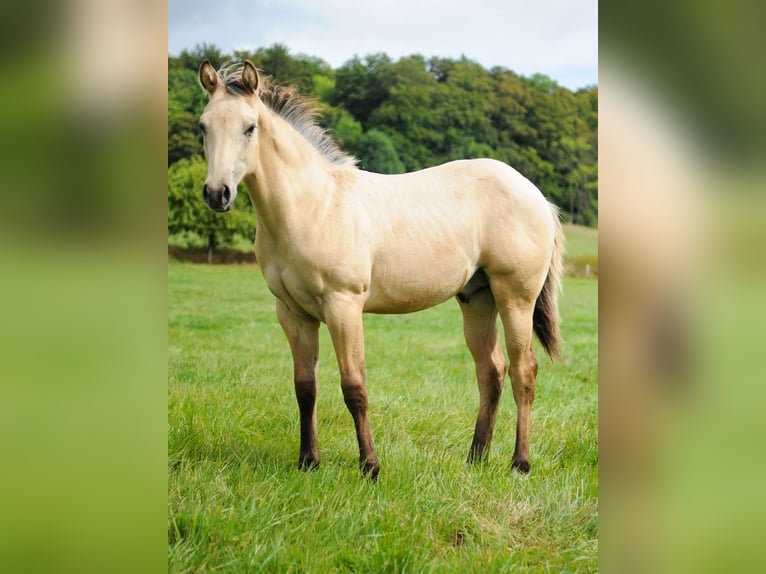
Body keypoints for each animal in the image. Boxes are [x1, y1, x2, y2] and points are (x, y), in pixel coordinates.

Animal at [197, 60, 563, 480]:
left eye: (250, 127)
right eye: (203, 126)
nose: (217, 193)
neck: (314, 204)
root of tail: (536, 194)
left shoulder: (343, 307)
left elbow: (354, 387)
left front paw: (370, 466)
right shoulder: (293, 313)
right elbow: (305, 388)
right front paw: (308, 461)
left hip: (515, 298)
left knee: (524, 371)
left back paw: (520, 463)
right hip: (477, 299)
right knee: (492, 372)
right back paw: (476, 457)